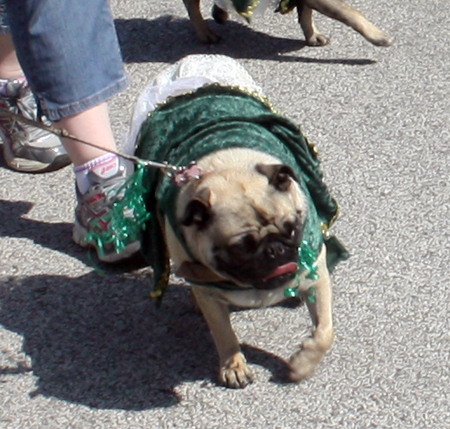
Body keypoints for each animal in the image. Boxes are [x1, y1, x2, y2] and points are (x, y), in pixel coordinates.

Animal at [126, 54, 348, 388]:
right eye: (241, 247)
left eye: (292, 229)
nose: (275, 250)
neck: (226, 170)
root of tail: (189, 63)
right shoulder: (208, 288)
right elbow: (223, 332)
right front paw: (233, 364)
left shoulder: (315, 273)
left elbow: (325, 331)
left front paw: (302, 364)